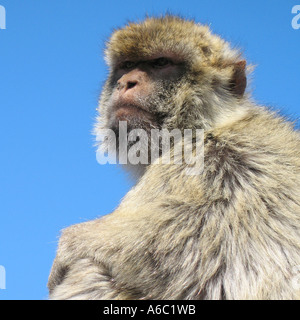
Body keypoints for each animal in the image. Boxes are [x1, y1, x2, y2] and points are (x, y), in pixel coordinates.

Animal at [47, 15, 300, 300]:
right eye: (127, 65)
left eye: (161, 63)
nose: (126, 82)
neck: (208, 125)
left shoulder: (202, 161)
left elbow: (180, 240)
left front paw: (70, 241)